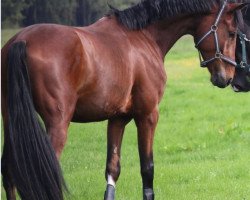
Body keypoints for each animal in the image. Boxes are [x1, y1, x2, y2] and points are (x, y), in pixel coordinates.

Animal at [0, 0, 245, 200]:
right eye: (232, 33)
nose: (228, 78)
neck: (142, 37)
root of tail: (21, 41)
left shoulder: (117, 118)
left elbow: (112, 169)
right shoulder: (148, 115)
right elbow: (147, 168)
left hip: (12, 123)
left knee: (9, 171)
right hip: (57, 125)